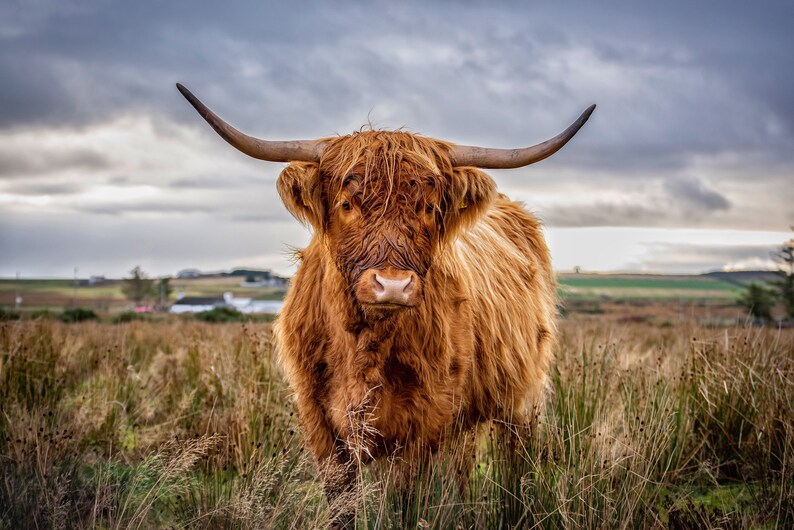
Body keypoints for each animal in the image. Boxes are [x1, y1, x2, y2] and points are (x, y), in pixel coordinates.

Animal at [177, 83, 594, 516]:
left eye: (428, 208)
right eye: (346, 204)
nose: (392, 285)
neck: (363, 345)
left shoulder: (425, 420)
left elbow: (405, 499)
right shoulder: (320, 421)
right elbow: (341, 501)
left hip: (524, 400)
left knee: (516, 460)